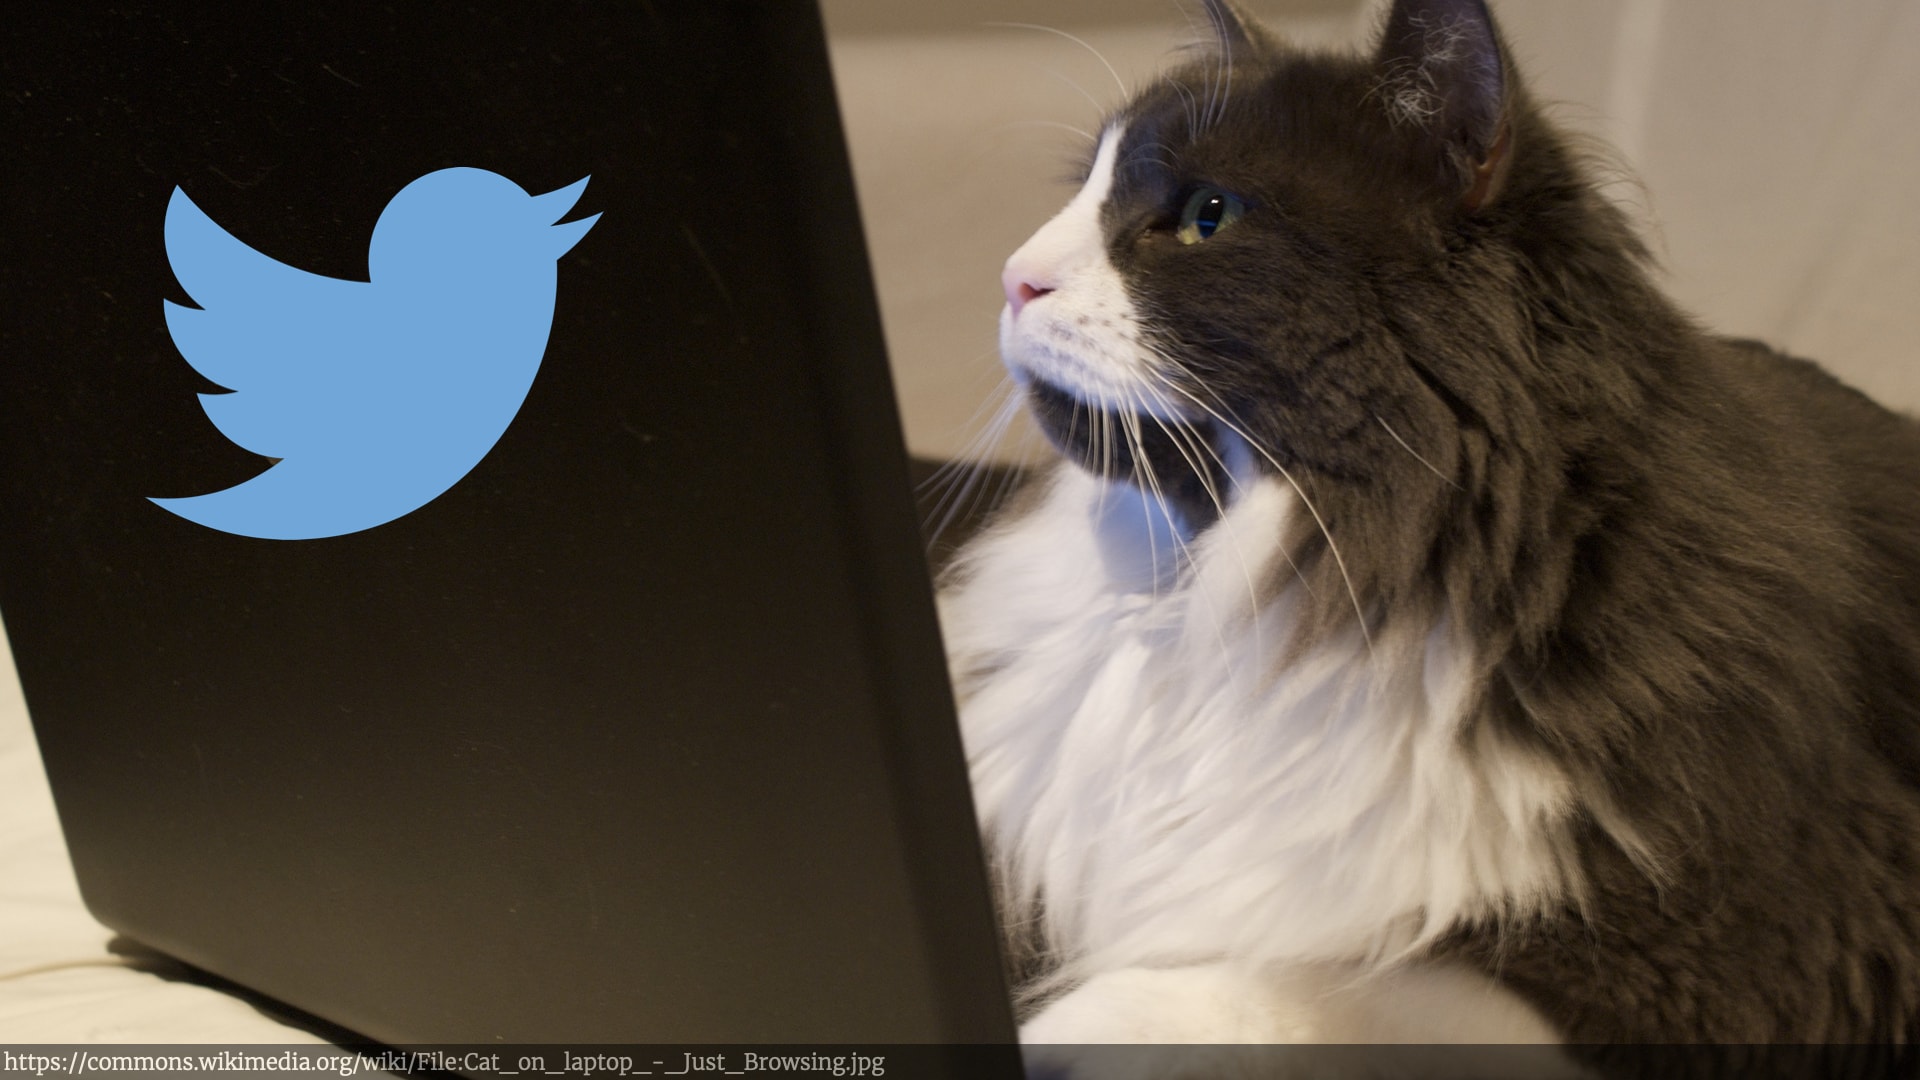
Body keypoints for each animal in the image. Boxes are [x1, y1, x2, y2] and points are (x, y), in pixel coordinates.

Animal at [936, 0, 1920, 1060]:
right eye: (1082, 193)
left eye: (1207, 217)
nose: (1013, 278)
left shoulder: (1774, 963)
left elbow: (1322, 981)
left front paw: (1071, 1022)